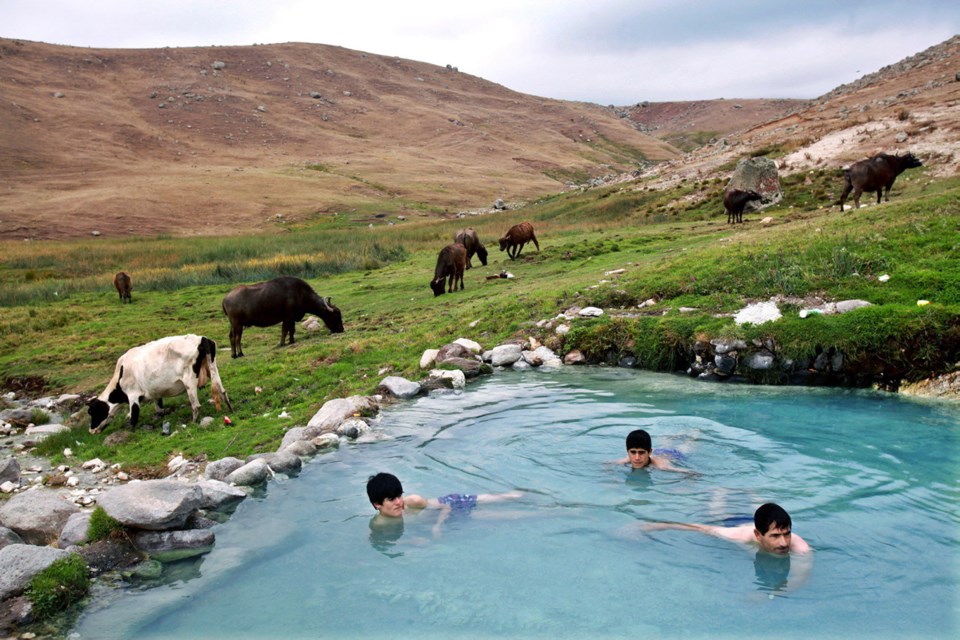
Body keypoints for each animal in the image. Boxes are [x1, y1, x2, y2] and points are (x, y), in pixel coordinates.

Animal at [88, 336, 234, 436]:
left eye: (92, 412)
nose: (91, 430)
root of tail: (201, 339)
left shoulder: (133, 394)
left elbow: (134, 415)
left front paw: (131, 431)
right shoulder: (154, 392)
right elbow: (158, 408)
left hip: (189, 379)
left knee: (196, 405)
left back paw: (193, 422)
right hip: (213, 369)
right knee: (223, 392)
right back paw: (230, 409)